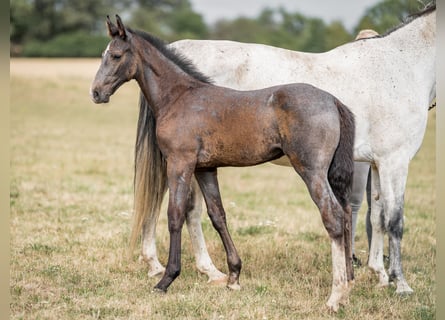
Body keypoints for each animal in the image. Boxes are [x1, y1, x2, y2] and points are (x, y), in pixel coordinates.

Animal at [134, 2, 434, 296]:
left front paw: (380, 274)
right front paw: (400, 282)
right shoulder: (394, 161)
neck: (396, 66)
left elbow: (378, 216)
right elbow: (395, 220)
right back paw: (175, 267)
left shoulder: (379, 163)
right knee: (178, 207)